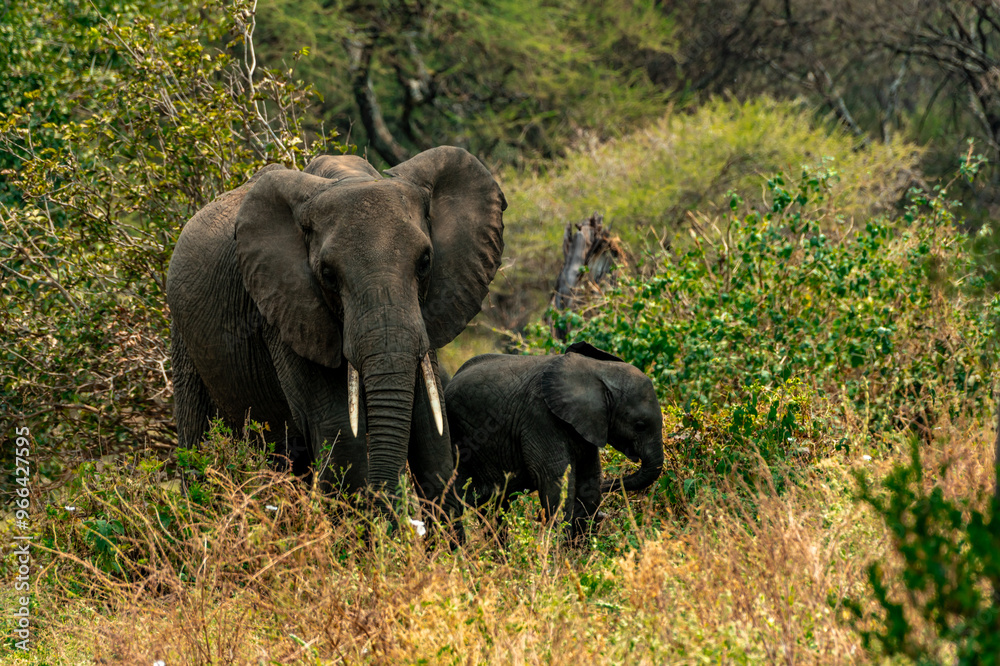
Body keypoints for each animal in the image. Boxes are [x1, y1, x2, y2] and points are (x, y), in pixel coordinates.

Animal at [166, 146, 506, 519]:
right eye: (328, 275)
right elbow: (340, 431)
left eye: (425, 262)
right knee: (197, 438)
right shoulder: (284, 308)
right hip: (182, 337)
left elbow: (431, 429)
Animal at [444, 342, 664, 538]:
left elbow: (589, 482)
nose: (612, 483)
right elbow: (556, 480)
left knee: (493, 506)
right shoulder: (539, 417)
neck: (598, 372)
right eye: (640, 425)